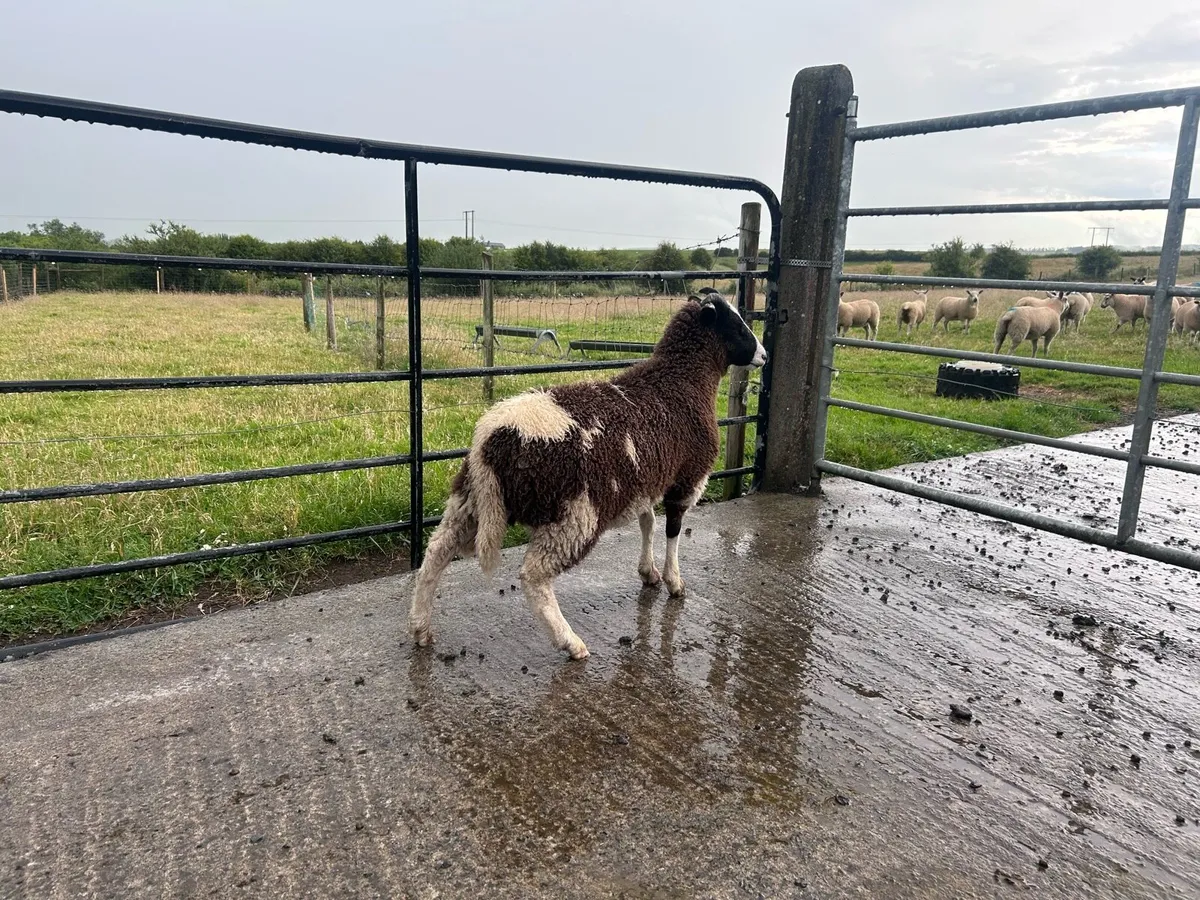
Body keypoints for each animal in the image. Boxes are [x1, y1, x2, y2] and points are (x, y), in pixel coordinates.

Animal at [408, 290, 767, 660]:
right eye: (737, 325)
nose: (764, 356)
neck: (681, 381)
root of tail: (492, 439)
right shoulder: (687, 478)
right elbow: (673, 531)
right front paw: (675, 582)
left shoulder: (645, 480)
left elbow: (648, 523)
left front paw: (649, 573)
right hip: (574, 515)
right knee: (533, 576)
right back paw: (570, 642)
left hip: (469, 500)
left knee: (436, 553)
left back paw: (421, 627)